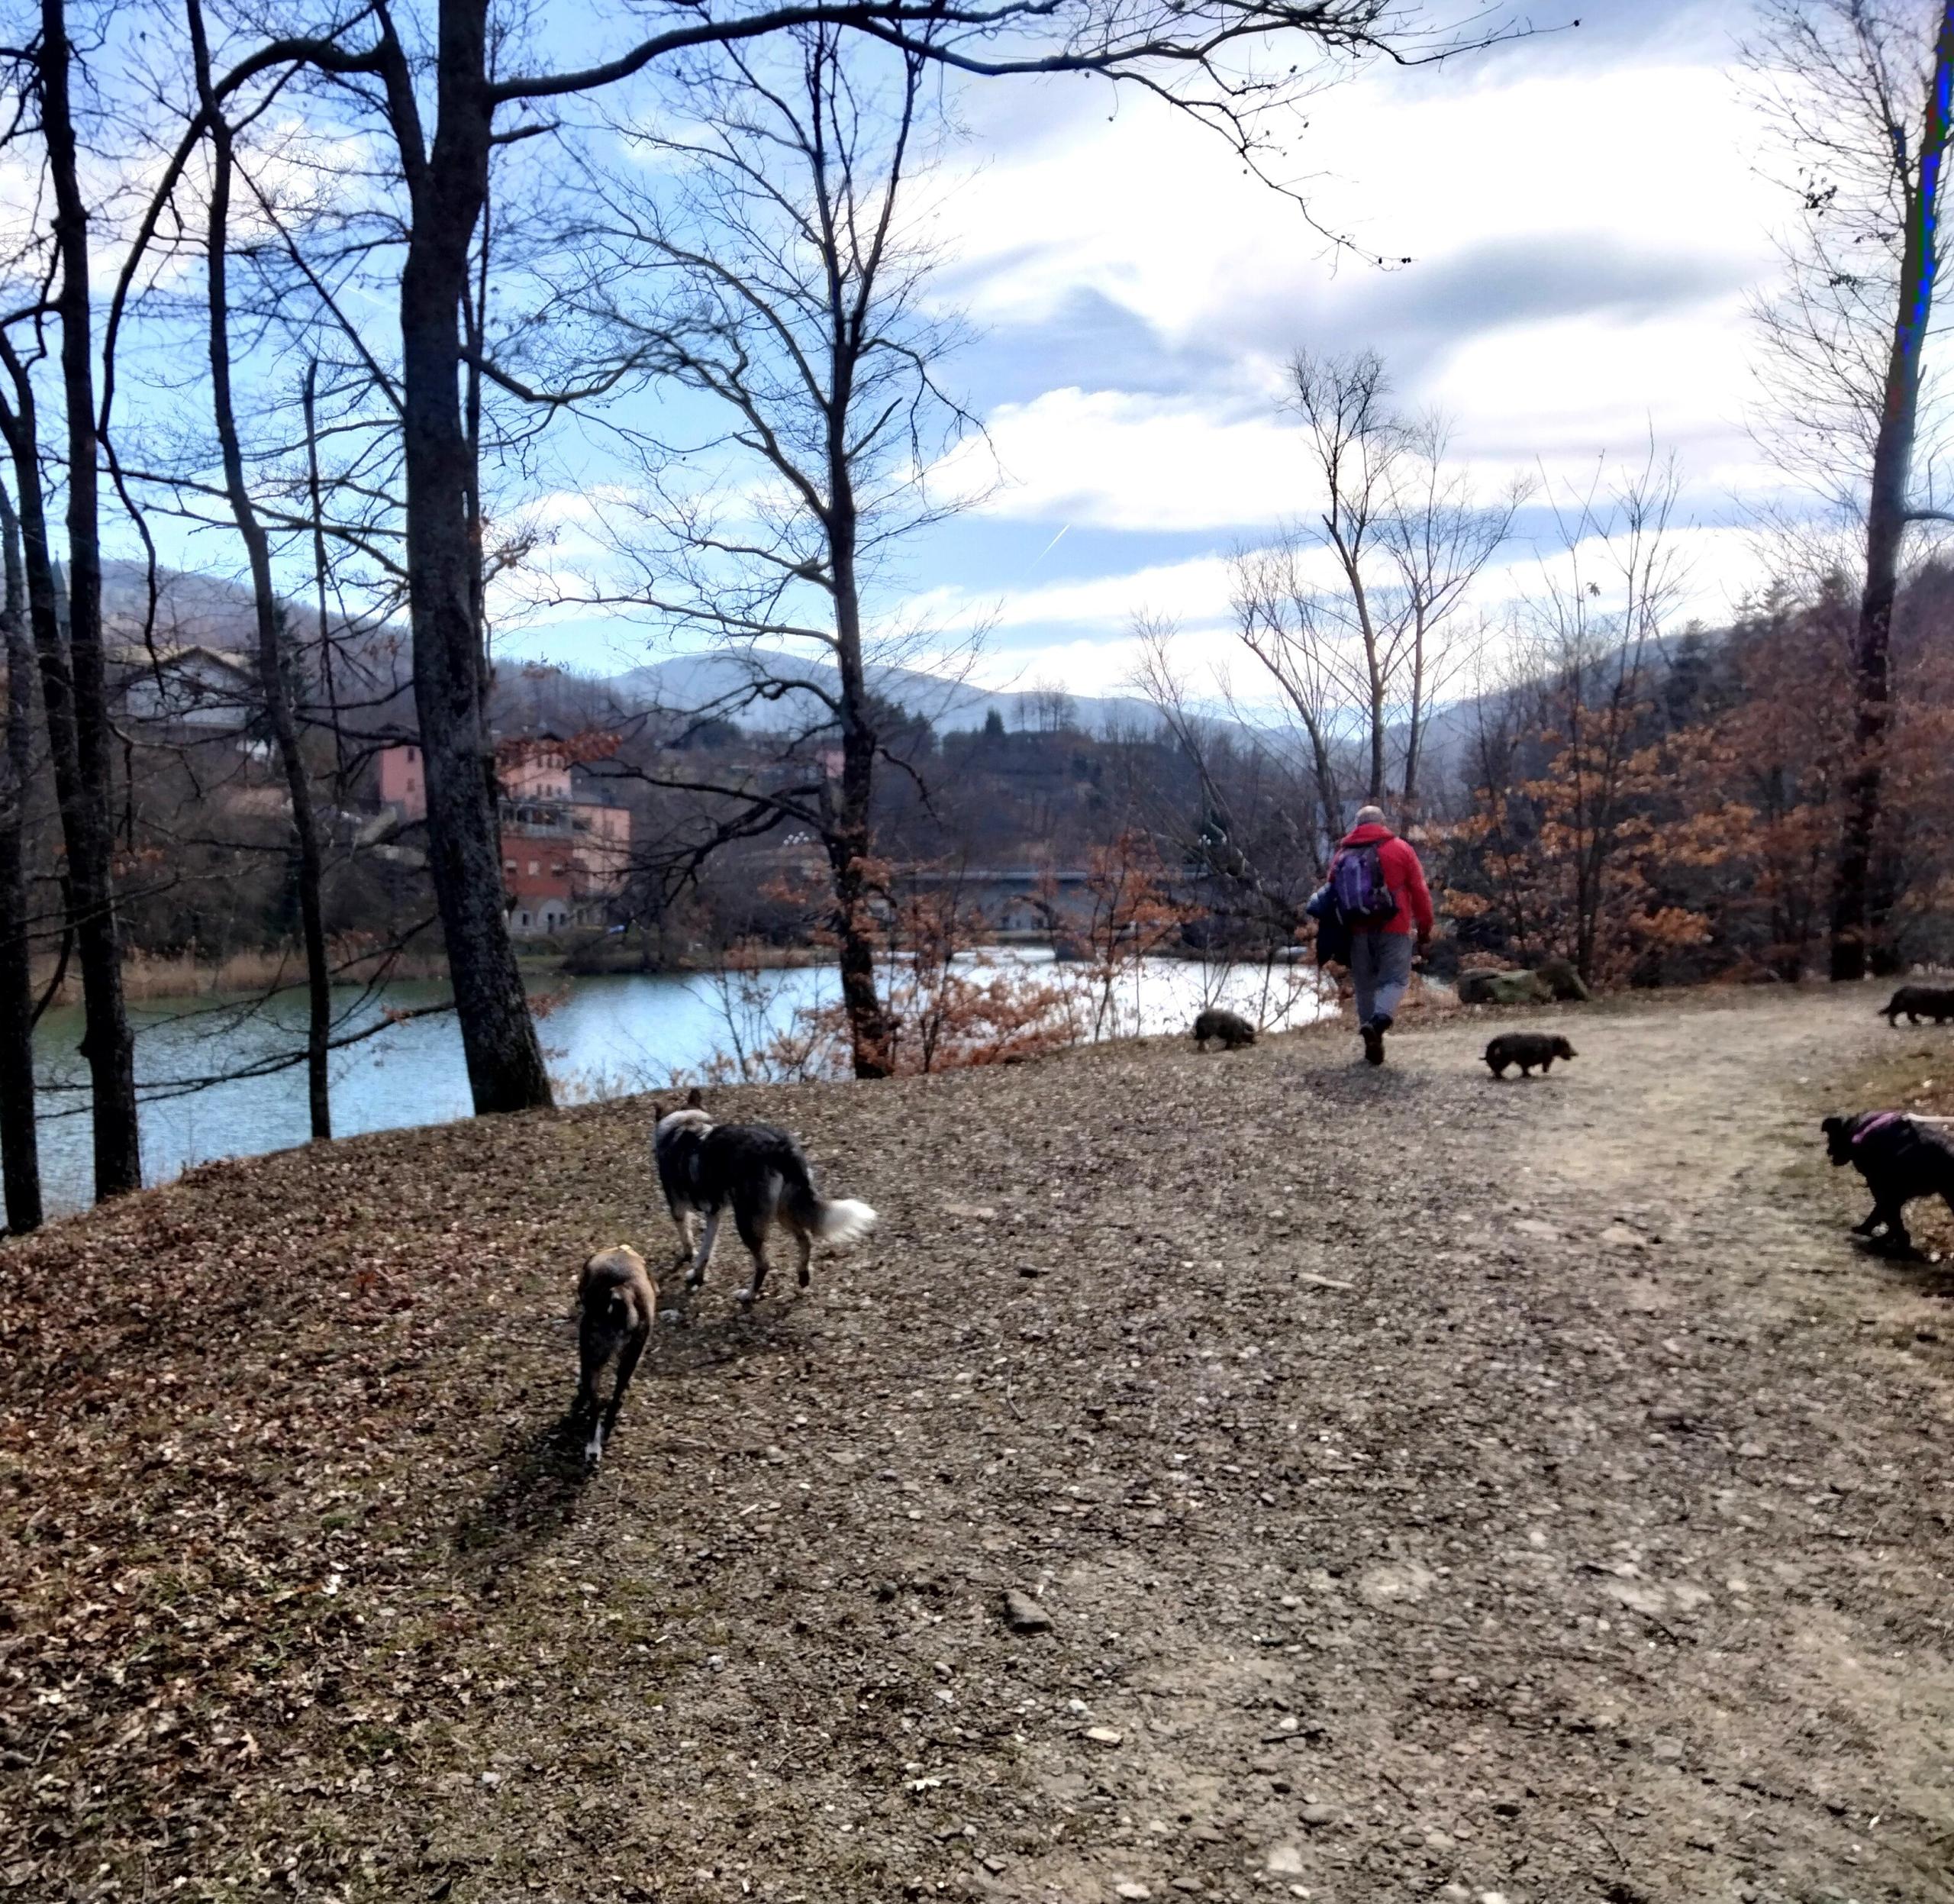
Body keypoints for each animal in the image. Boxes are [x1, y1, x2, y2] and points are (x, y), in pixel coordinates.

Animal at [570, 1243, 660, 1470]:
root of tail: (620, 1293)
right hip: (629, 1357)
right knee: (613, 1399)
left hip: (596, 1357)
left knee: (595, 1409)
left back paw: (593, 1445)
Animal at [653, 1086, 875, 1313]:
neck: (686, 1121)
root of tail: (779, 1148)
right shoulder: (714, 1213)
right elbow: (707, 1248)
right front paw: (698, 1273)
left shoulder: (679, 1208)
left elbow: (688, 1239)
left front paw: (690, 1262)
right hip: (784, 1210)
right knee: (805, 1239)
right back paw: (803, 1275)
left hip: (748, 1221)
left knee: (764, 1264)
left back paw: (749, 1294)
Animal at [1813, 1110, 1954, 1259]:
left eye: (1832, 1137)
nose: (1828, 1151)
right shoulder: (1894, 1195)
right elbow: (1889, 1216)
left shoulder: (1883, 1189)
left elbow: (1886, 1215)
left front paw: (1870, 1232)